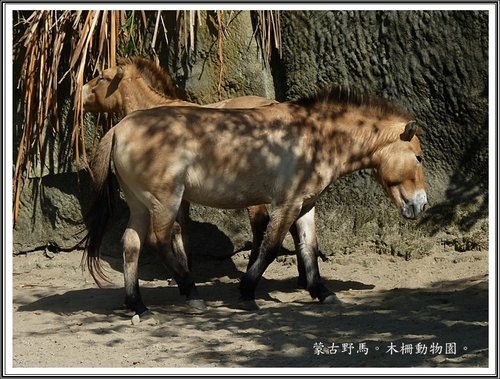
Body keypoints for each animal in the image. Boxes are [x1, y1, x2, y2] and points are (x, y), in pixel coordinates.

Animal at [82, 57, 316, 290]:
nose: (80, 94)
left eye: (102, 77)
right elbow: (181, 228)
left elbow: (177, 229)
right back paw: (302, 278)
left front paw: (181, 273)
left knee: (261, 225)